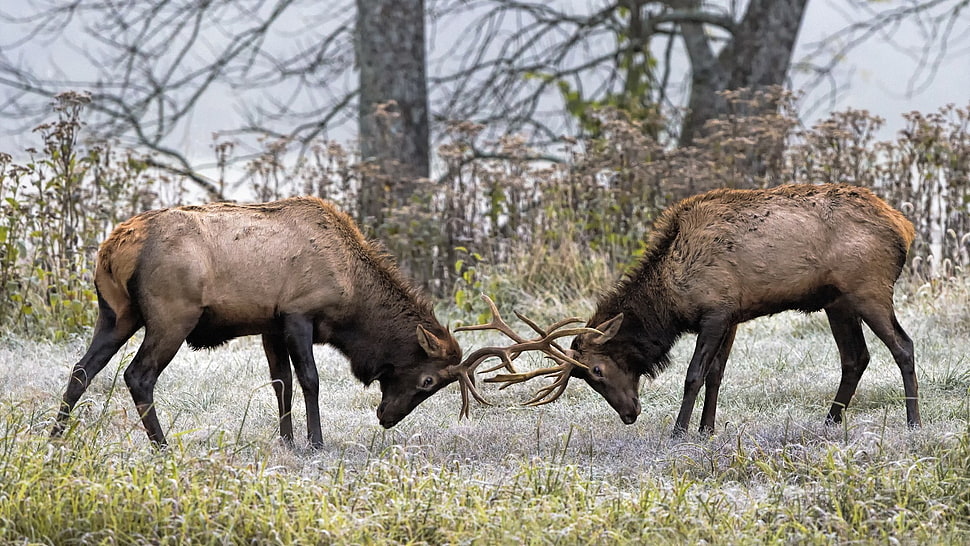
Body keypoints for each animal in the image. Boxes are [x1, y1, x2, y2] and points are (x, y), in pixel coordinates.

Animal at [51, 196, 509, 449]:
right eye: (428, 381)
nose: (386, 418)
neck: (351, 293)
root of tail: (113, 247)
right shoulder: (298, 313)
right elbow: (309, 379)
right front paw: (315, 441)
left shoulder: (269, 324)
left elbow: (280, 381)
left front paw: (286, 439)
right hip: (171, 315)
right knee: (138, 375)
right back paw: (162, 446)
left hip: (115, 313)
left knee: (82, 368)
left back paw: (54, 436)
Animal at [482, 183, 921, 436]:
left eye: (596, 371)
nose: (629, 414)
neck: (670, 302)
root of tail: (905, 228)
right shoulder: (732, 315)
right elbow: (716, 374)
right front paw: (707, 430)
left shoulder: (715, 310)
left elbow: (694, 374)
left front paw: (679, 431)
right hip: (836, 300)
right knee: (855, 357)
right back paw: (829, 422)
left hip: (868, 287)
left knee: (903, 345)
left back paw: (913, 422)